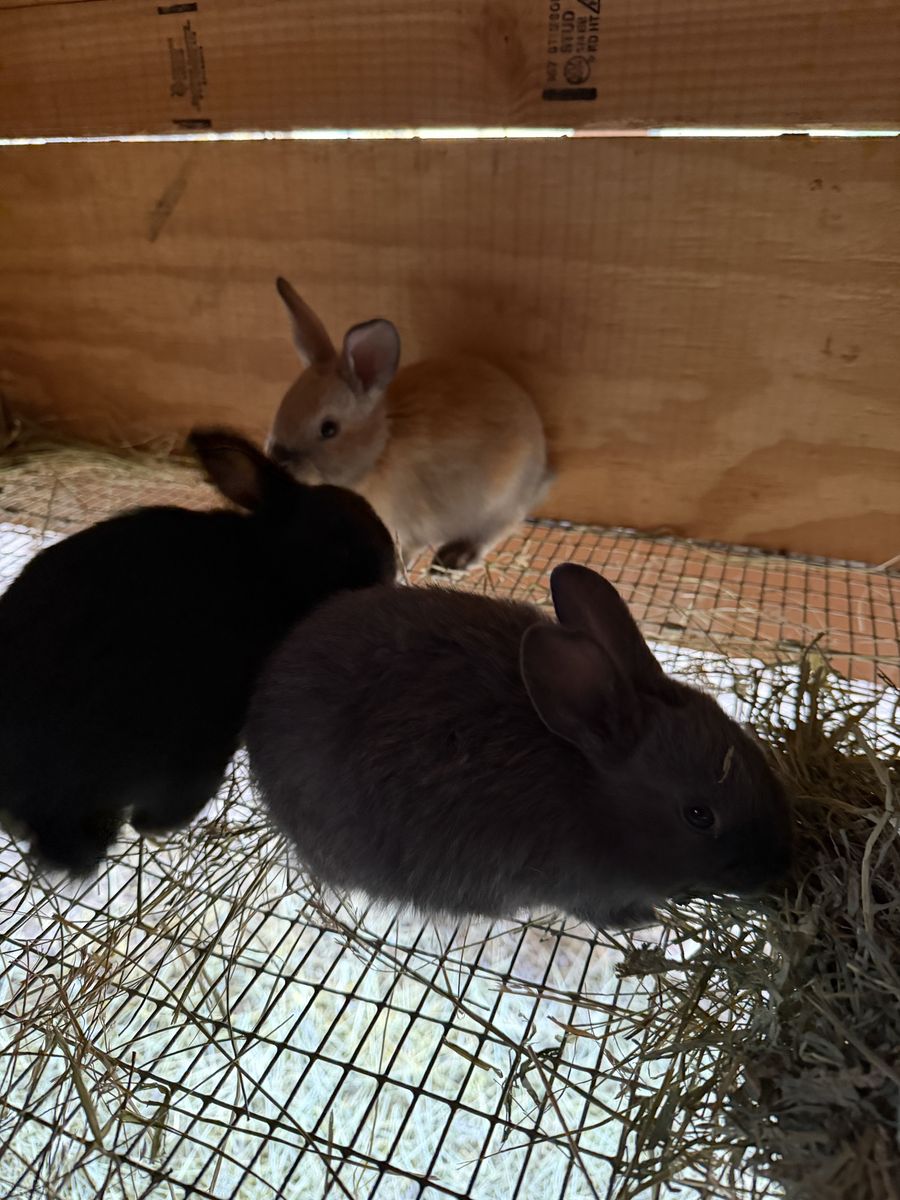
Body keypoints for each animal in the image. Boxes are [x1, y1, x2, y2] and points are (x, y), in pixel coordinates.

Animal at [266, 277, 552, 573]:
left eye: (328, 429)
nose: (278, 458)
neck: (378, 453)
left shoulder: (410, 526)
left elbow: (405, 551)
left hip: (499, 501)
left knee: (500, 526)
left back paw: (457, 557)